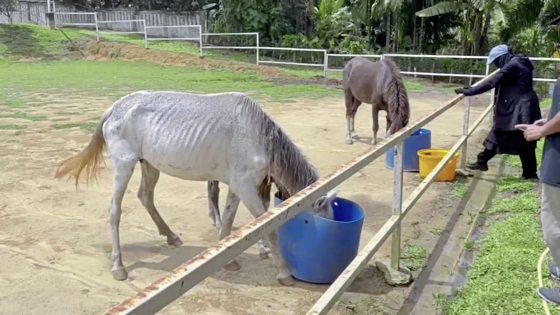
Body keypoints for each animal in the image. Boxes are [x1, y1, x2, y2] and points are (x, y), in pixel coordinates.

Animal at [55, 91, 336, 286]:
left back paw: (170, 236)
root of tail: (114, 108)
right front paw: (284, 273)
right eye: (319, 221)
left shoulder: (238, 186)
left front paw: (228, 260)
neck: (256, 135)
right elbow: (267, 227)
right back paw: (119, 267)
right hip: (125, 166)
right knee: (115, 210)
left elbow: (228, 222)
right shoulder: (245, 187)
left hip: (150, 165)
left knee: (145, 197)